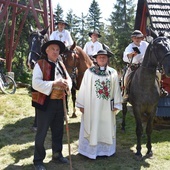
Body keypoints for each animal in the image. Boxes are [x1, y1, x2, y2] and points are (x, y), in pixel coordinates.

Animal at [121, 31, 170, 160]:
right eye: (158, 47)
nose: (169, 69)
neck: (145, 83)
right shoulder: (137, 108)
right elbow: (138, 129)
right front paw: (138, 151)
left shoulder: (153, 109)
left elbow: (149, 129)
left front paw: (149, 150)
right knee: (124, 112)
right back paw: (122, 127)